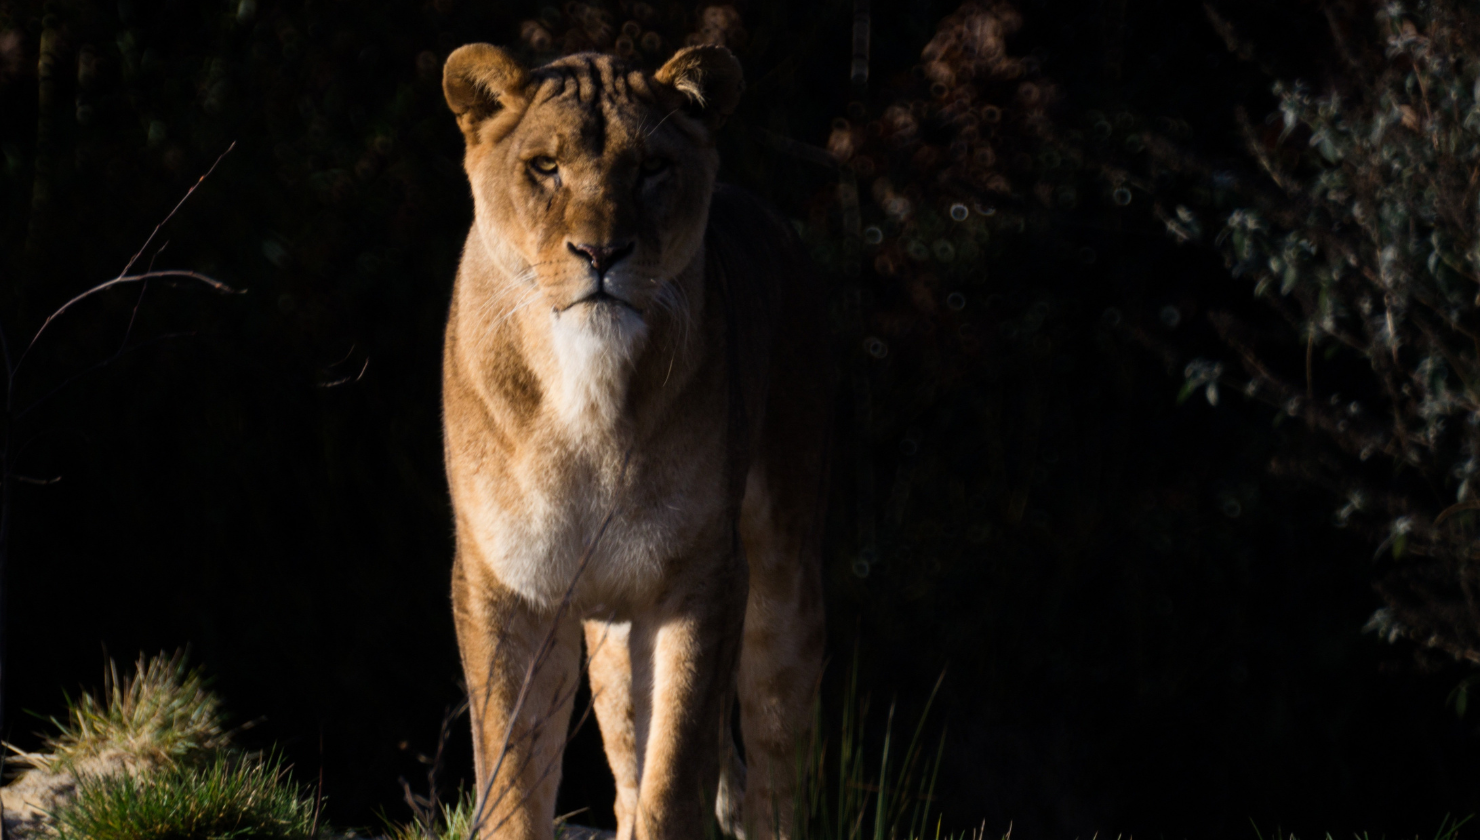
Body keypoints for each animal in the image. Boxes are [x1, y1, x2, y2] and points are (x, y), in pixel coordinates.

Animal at [440, 43, 830, 840]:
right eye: (545, 166)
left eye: (651, 167)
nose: (601, 252)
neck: (584, 390)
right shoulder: (503, 583)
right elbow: (512, 774)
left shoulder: (703, 577)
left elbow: (676, 772)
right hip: (614, 639)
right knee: (626, 769)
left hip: (781, 581)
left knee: (776, 758)